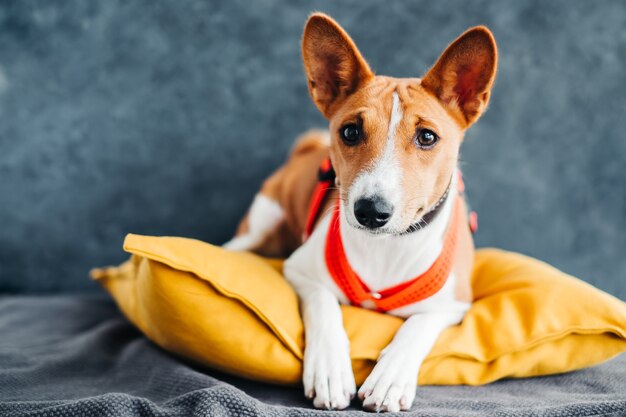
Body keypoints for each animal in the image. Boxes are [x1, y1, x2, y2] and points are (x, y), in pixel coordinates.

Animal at [222, 12, 494, 410]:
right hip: (260, 226)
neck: (387, 246)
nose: (371, 211)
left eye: (427, 137)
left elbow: (416, 327)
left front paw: (390, 378)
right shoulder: (302, 271)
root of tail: (305, 149)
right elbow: (325, 309)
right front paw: (330, 370)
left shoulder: (453, 305)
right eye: (350, 132)